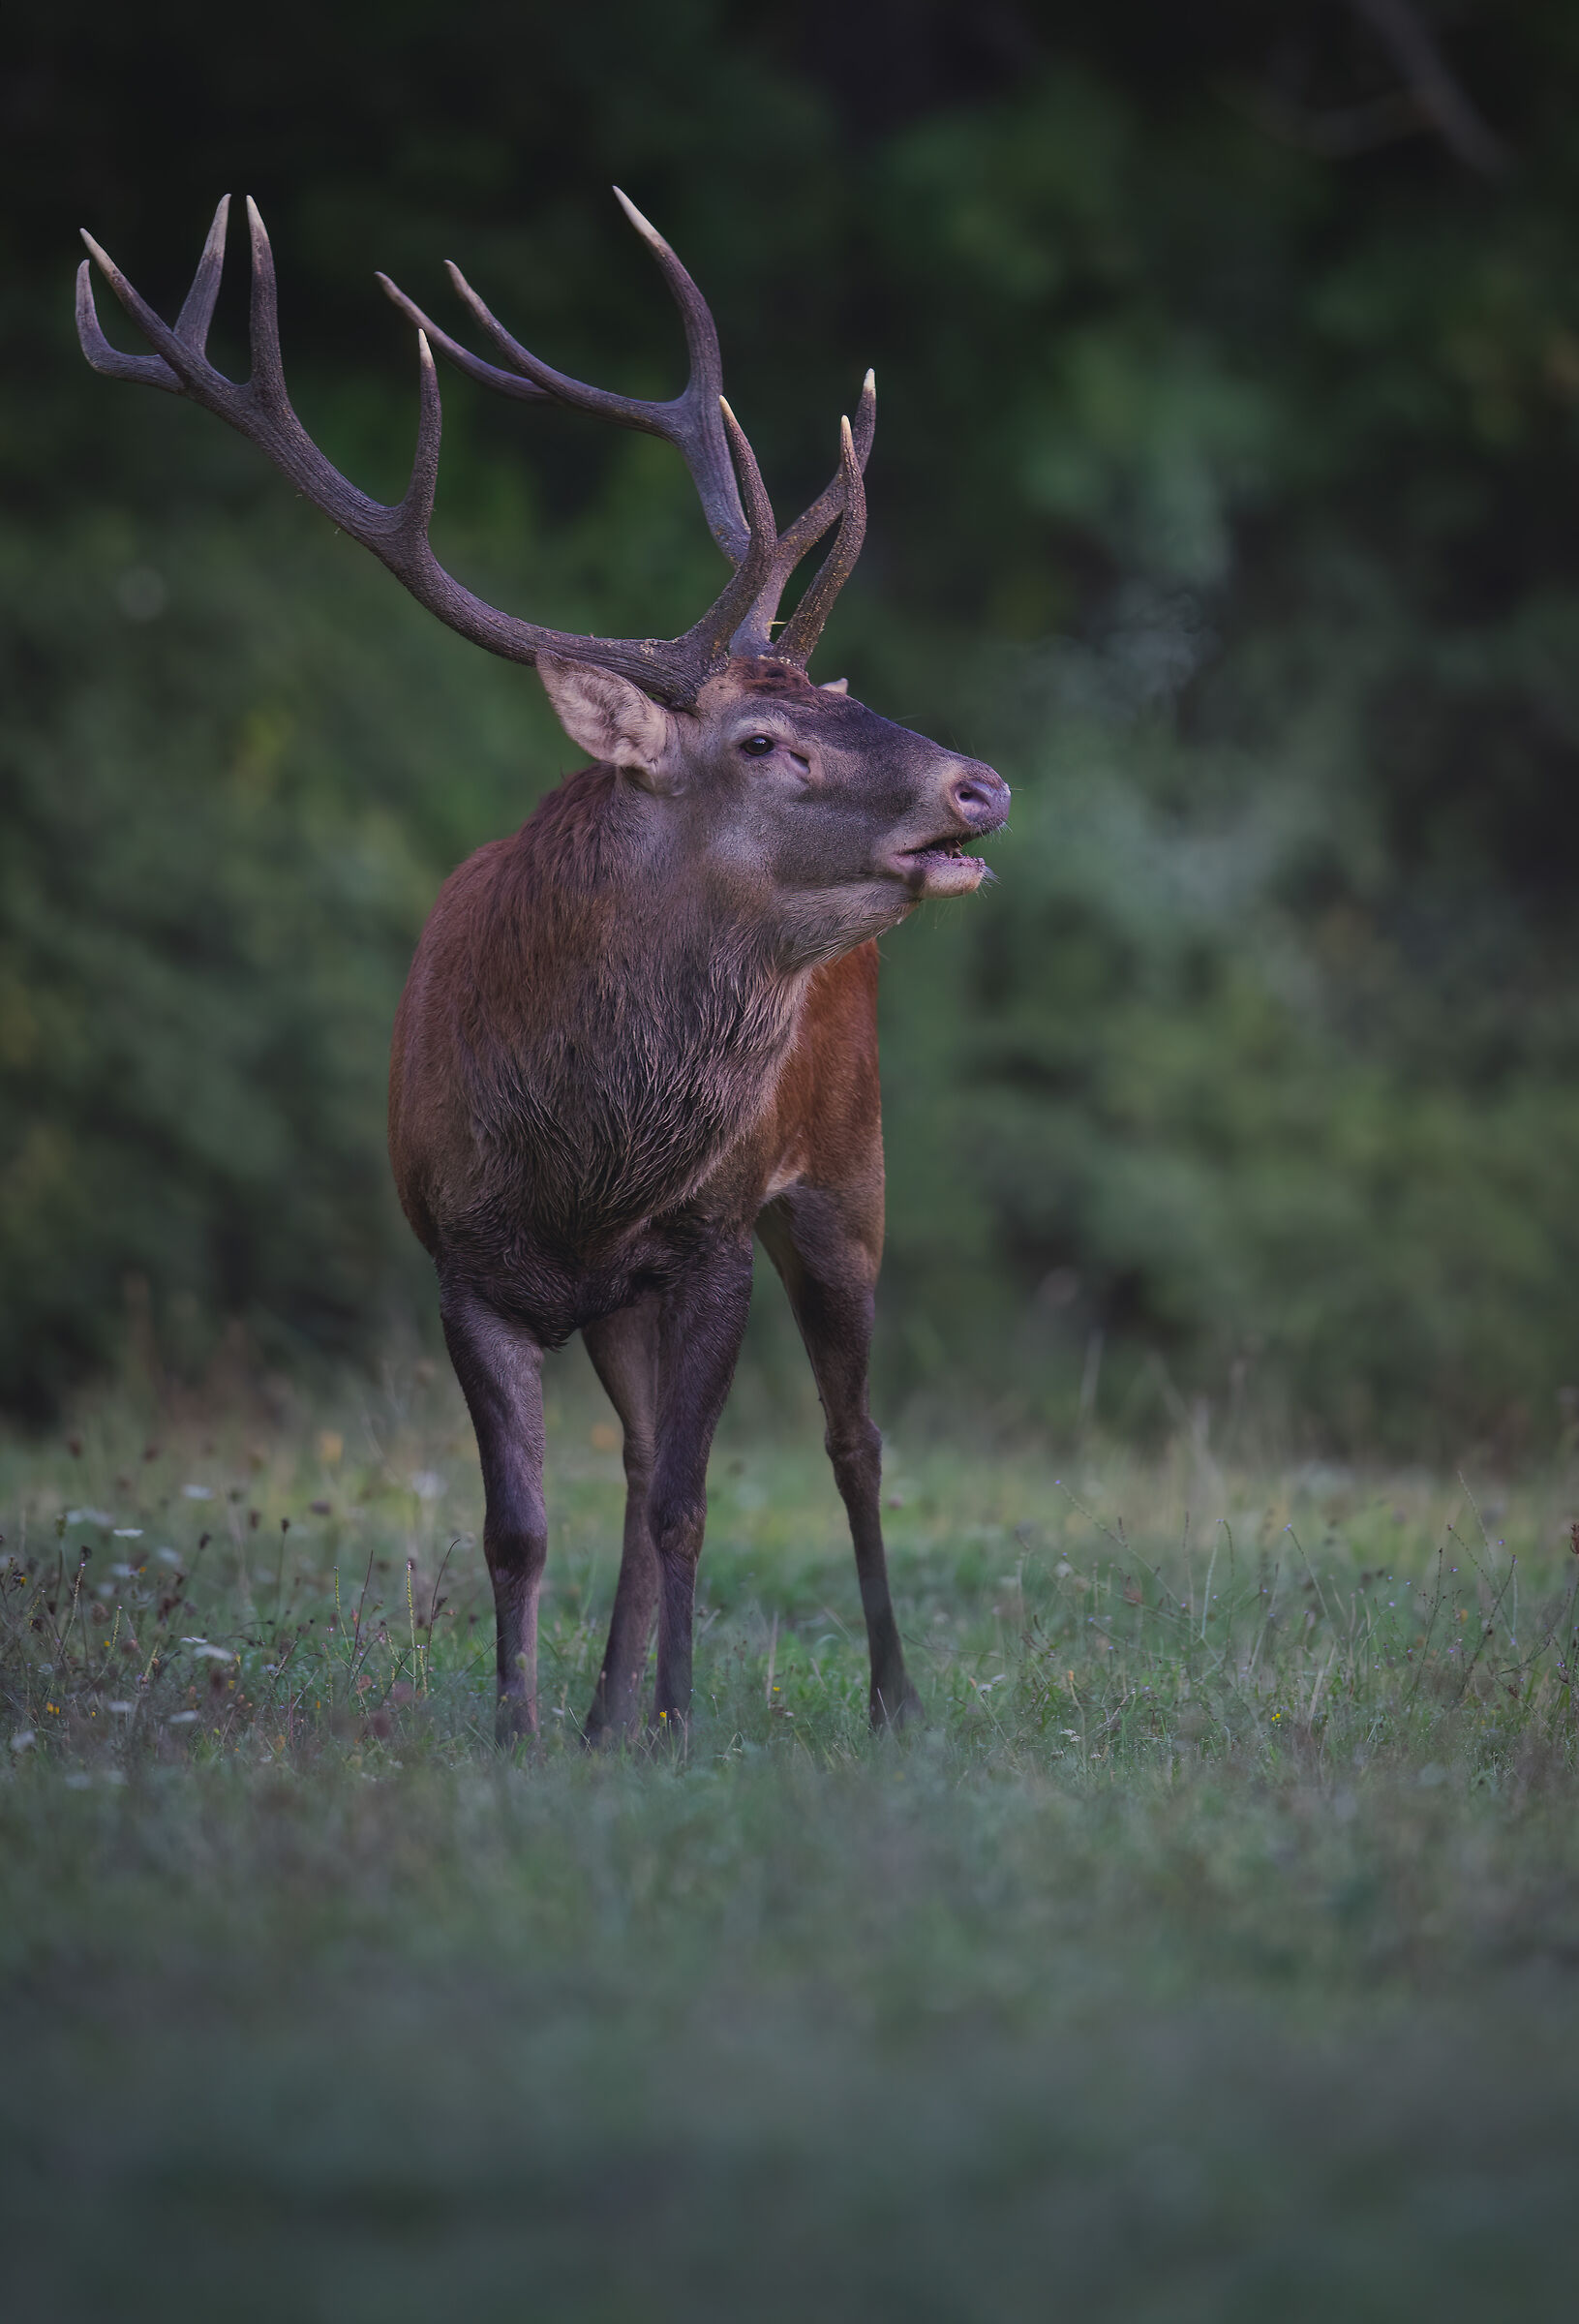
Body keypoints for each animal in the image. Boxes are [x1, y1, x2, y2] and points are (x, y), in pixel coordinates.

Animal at [76, 190, 1010, 1744]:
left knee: (851, 1438)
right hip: (638, 1292)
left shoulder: (708, 1236)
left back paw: (885, 1700)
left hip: (847, 1175)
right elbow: (521, 1525)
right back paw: (596, 1717)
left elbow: (695, 1502)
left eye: (843, 699)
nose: (978, 786)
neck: (581, 1157)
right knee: (634, 1466)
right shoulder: (458, 1258)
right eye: (763, 740)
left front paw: (682, 1725)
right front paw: (521, 1732)